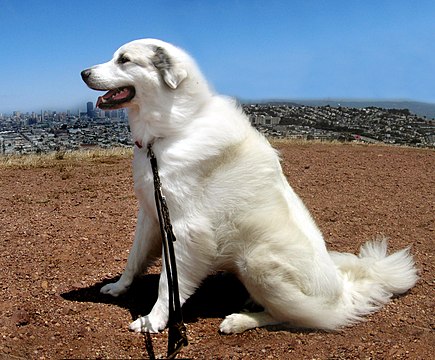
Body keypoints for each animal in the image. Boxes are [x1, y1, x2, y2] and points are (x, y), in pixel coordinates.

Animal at [81, 38, 418, 334]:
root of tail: (343, 291)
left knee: (295, 316)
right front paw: (118, 287)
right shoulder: (151, 215)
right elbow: (133, 258)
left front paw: (153, 321)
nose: (83, 72)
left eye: (124, 60)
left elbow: (168, 284)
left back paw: (240, 320)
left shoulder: (188, 229)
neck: (175, 129)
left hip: (257, 260)